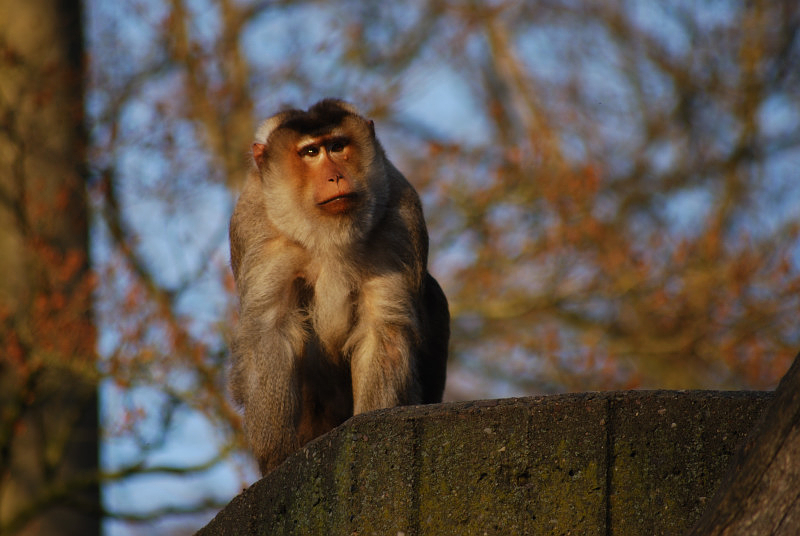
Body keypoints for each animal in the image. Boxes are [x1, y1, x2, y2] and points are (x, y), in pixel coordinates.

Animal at [228, 99, 449, 475]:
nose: (335, 176)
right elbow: (270, 331)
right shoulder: (256, 228)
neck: (326, 236)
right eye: (310, 152)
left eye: (337, 146)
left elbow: (383, 328)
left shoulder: (401, 219)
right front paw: (277, 460)